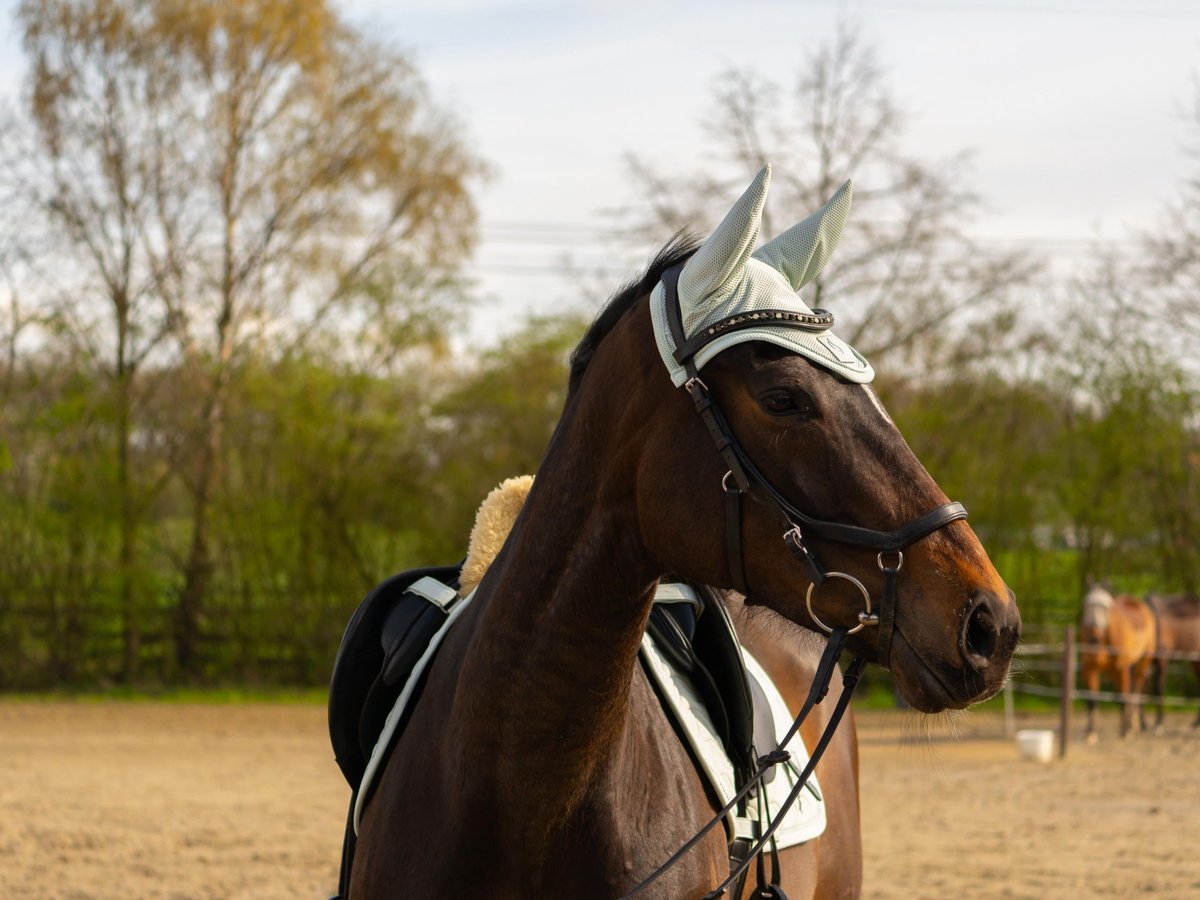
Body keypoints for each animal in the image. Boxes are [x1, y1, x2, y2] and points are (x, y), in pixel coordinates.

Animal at [1080, 588, 1152, 744]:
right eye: (1086, 606)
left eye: (1105, 608)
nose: (1093, 638)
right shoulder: (1089, 668)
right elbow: (1092, 700)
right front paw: (1091, 732)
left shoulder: (1122, 669)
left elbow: (1123, 697)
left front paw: (1124, 731)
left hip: (1142, 662)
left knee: (1135, 690)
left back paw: (1130, 725)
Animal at [1142, 592, 1200, 734]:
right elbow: (1144, 690)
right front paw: (1144, 724)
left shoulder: (1162, 659)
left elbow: (1158, 689)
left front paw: (1158, 724)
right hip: (1194, 661)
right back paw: (1195, 724)